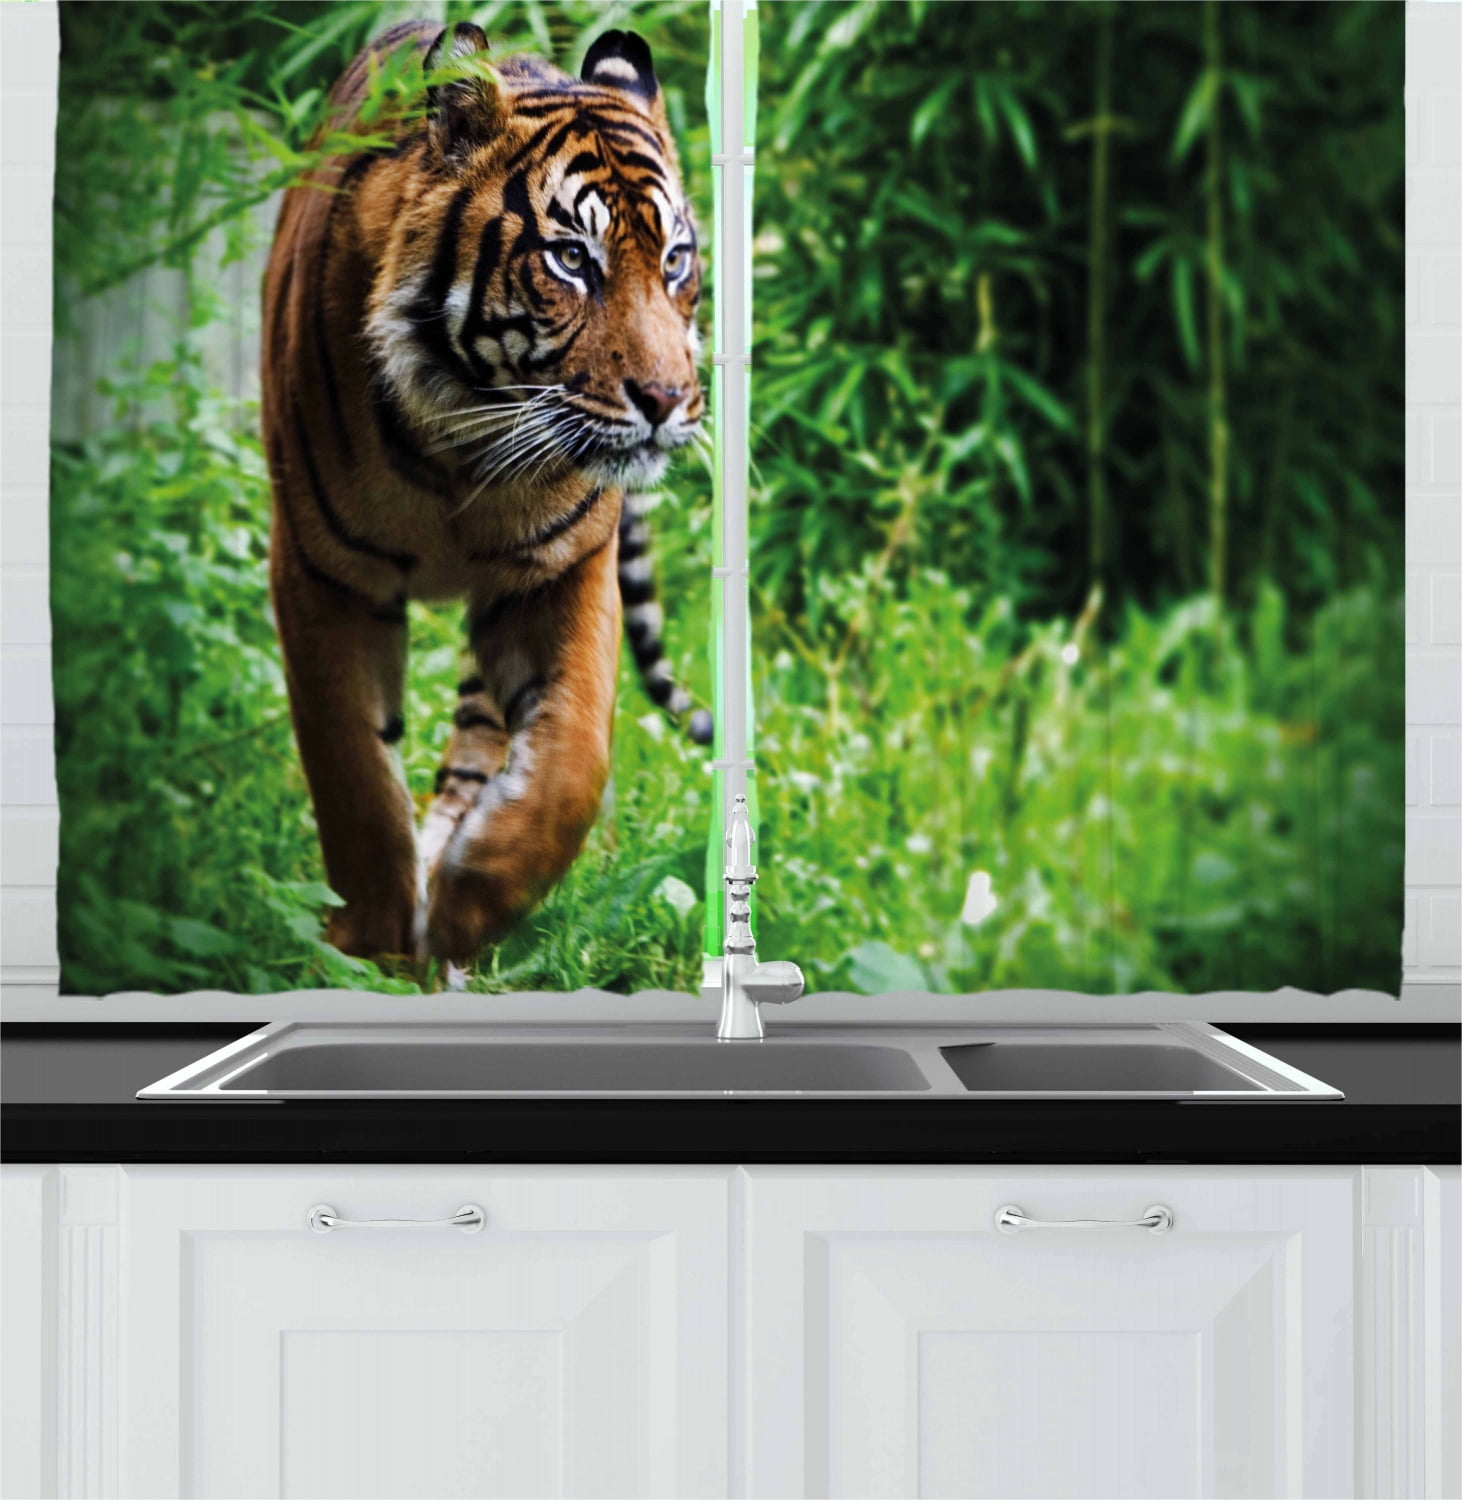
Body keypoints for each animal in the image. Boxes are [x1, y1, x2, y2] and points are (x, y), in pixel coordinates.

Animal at [261, 20, 710, 966]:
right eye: (572, 259)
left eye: (676, 259)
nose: (666, 401)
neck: (464, 448)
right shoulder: (321, 573)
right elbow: (351, 767)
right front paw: (373, 943)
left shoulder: (564, 570)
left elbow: (572, 761)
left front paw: (471, 904)